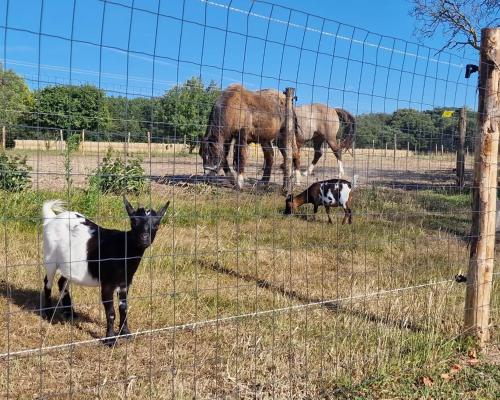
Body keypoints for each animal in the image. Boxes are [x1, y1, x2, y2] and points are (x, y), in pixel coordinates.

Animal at [42, 198, 170, 346]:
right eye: (133, 222)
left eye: (157, 224)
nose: (144, 238)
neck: (123, 249)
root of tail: (52, 219)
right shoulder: (107, 284)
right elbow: (111, 312)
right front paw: (110, 340)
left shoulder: (125, 283)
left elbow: (123, 308)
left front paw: (126, 333)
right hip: (50, 258)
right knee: (48, 282)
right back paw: (48, 314)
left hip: (68, 265)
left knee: (62, 281)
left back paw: (70, 313)